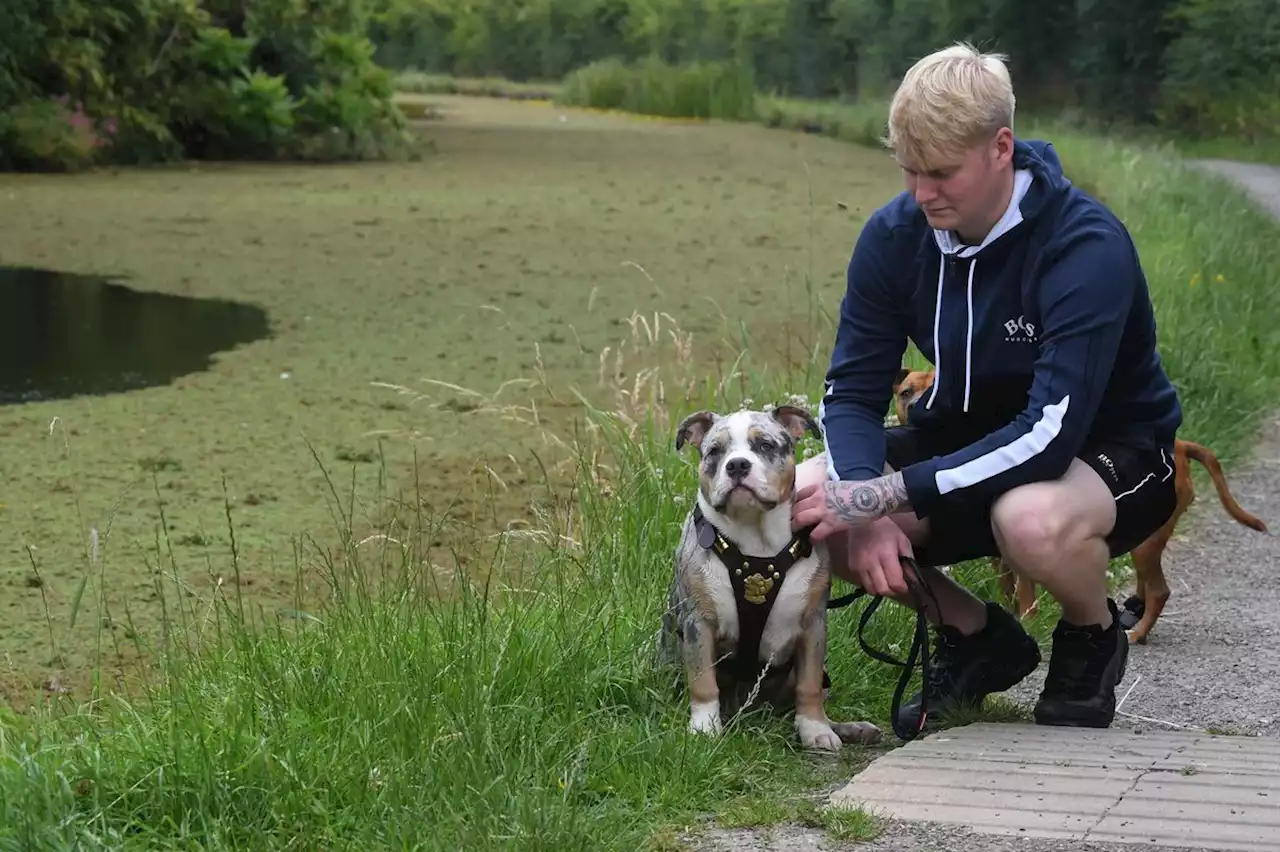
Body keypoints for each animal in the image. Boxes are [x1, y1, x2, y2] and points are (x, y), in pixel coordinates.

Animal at [660, 401, 880, 747]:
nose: (737, 465)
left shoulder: (813, 625)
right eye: (715, 451)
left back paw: (850, 728)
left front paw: (815, 729)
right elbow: (703, 680)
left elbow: (809, 685)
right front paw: (704, 728)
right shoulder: (699, 623)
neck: (756, 539)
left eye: (765, 445)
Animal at [890, 365, 1269, 644]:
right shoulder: (999, 557)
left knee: (1159, 591)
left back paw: (1137, 633)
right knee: (1147, 586)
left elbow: (1025, 596)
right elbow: (1007, 591)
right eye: (906, 391)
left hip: (1145, 540)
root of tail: (1181, 445)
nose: (916, 407)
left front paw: (1028, 624)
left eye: (939, 391)